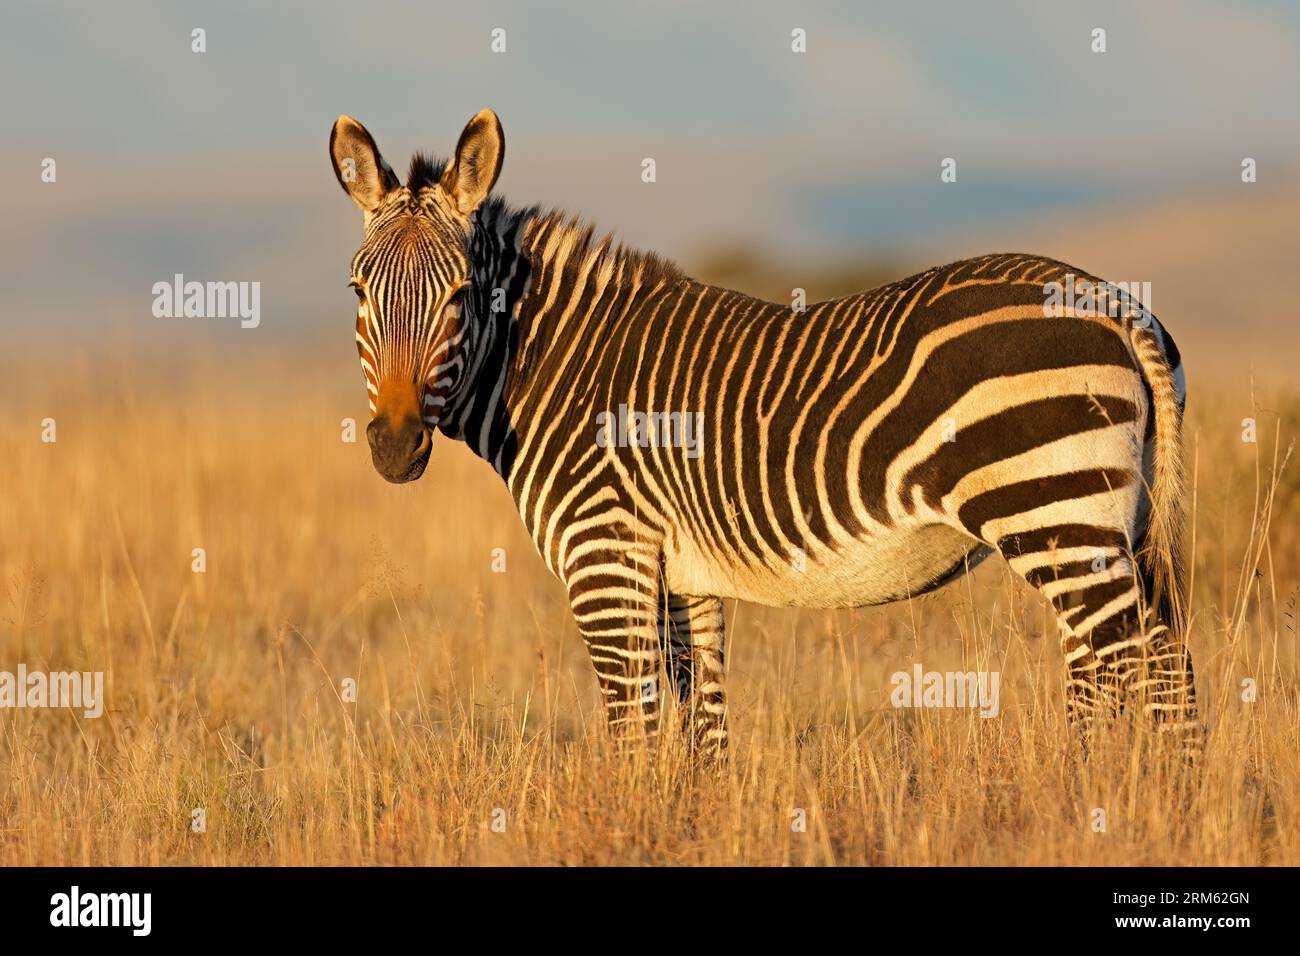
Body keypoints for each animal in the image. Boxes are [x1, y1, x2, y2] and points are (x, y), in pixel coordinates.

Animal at [329, 109, 1198, 761]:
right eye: (359, 291)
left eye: (460, 293)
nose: (395, 447)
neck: (557, 366)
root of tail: (1117, 304)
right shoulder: (684, 577)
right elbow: (703, 726)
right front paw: (691, 822)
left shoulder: (606, 559)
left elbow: (633, 727)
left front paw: (628, 820)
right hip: (1106, 521)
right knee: (1149, 662)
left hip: (1053, 511)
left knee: (1143, 666)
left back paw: (1131, 802)